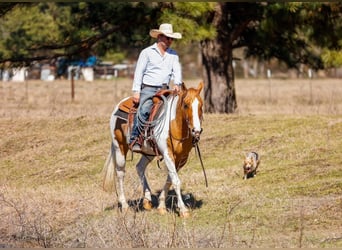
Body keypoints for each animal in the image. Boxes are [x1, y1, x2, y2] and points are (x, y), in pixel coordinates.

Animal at [101, 81, 203, 217]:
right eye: (186, 105)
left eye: (201, 105)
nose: (196, 130)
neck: (175, 125)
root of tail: (119, 105)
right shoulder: (167, 153)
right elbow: (176, 181)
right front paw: (183, 210)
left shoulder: (181, 158)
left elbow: (170, 179)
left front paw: (161, 206)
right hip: (120, 148)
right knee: (120, 173)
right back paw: (125, 205)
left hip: (149, 152)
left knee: (139, 167)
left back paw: (147, 200)